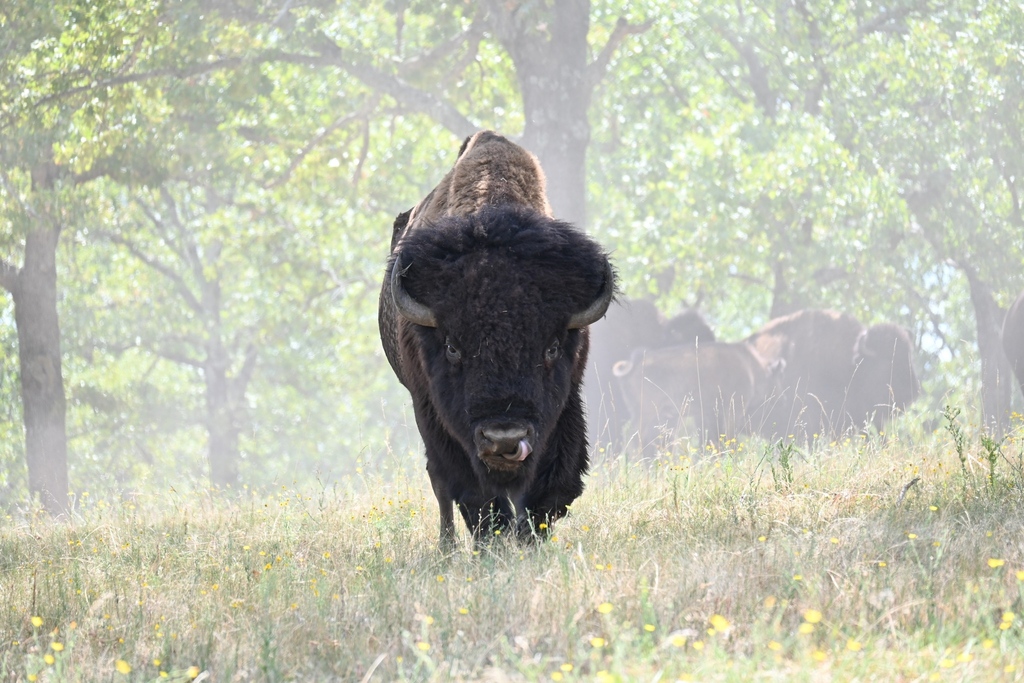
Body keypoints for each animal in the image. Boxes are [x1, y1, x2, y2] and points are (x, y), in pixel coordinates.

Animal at [378, 131, 615, 550]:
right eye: (453, 347)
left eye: (552, 347)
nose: (504, 438)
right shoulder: (434, 412)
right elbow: (471, 492)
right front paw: (493, 542)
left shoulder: (565, 405)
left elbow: (552, 485)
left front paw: (529, 540)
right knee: (440, 483)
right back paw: (448, 547)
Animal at [610, 340, 779, 454]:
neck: (751, 366)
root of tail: (636, 362)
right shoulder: (732, 411)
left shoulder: (709, 416)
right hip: (649, 414)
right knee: (640, 440)